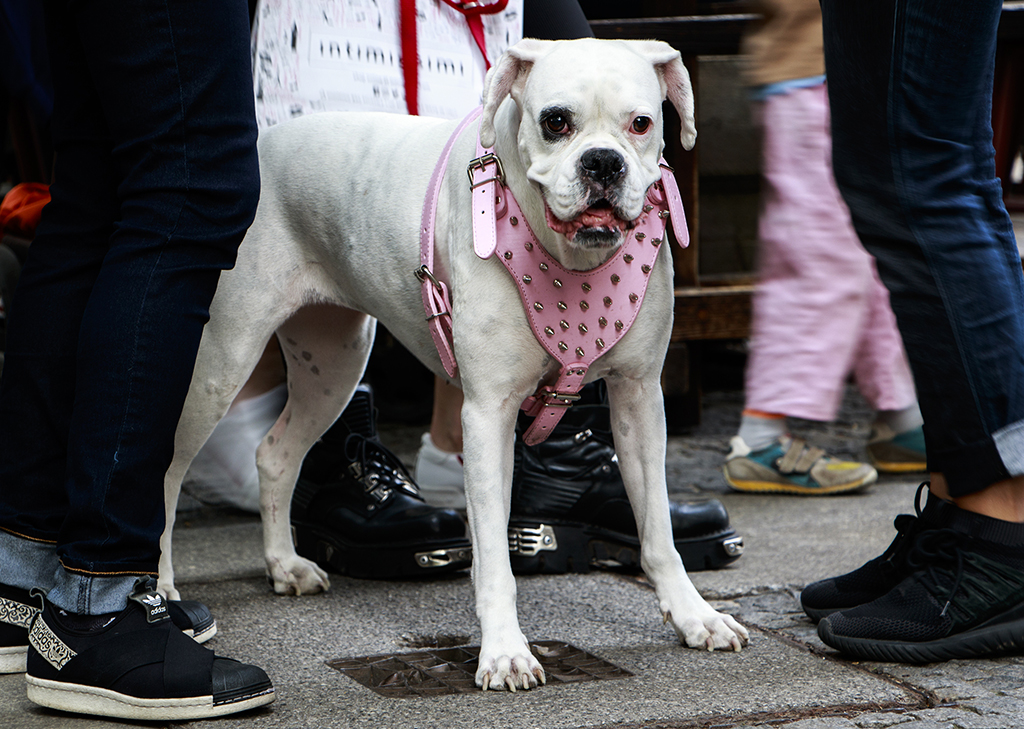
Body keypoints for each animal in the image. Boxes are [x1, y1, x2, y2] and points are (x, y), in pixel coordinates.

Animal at [161, 38, 753, 688]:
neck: (569, 259)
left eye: (641, 124)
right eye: (556, 121)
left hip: (334, 365)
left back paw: (284, 564)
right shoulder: (488, 414)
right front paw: (505, 652)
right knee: (167, 470)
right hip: (220, 362)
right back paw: (159, 589)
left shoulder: (639, 398)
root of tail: (265, 142)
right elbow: (493, 555)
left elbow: (658, 530)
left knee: (276, 453)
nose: (603, 163)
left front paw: (695, 616)